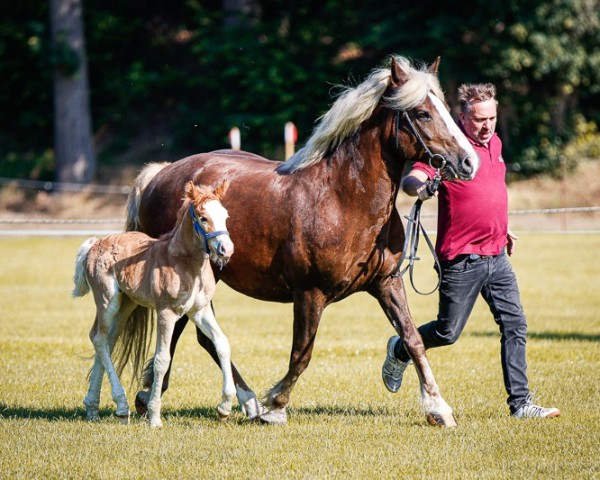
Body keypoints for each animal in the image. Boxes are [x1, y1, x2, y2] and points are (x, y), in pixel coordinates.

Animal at [72, 181, 234, 428]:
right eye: (203, 218)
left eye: (225, 216)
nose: (226, 249)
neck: (186, 264)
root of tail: (94, 244)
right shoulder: (166, 312)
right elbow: (162, 359)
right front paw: (155, 417)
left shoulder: (200, 311)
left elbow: (222, 344)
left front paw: (225, 407)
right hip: (108, 300)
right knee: (99, 338)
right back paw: (121, 405)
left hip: (126, 305)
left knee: (107, 340)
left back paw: (94, 408)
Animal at [129, 54, 480, 426]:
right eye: (423, 113)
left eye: (445, 107)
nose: (469, 162)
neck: (343, 199)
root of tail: (160, 176)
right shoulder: (310, 293)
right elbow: (302, 352)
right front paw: (276, 405)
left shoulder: (387, 282)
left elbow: (413, 339)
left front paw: (438, 408)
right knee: (190, 336)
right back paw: (224, 401)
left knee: (198, 336)